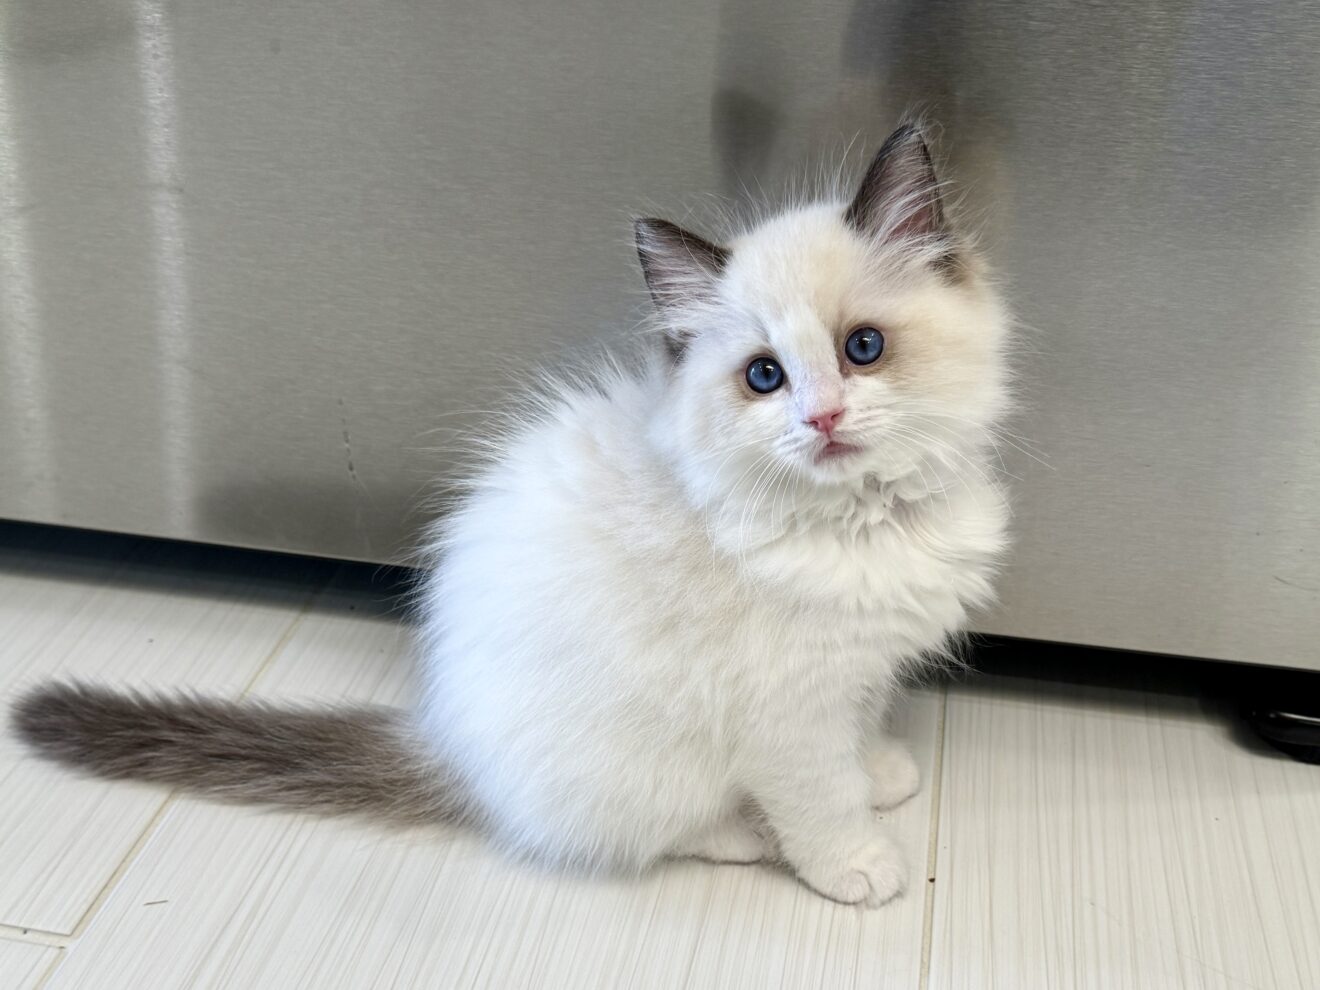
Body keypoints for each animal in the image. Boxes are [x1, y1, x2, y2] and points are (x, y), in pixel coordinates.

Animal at [10, 122, 1008, 908]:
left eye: (863, 349)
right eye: (764, 376)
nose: (822, 419)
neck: (864, 524)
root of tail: (450, 747)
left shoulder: (862, 669)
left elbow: (863, 729)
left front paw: (882, 771)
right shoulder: (789, 714)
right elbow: (820, 798)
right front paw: (858, 862)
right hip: (635, 760)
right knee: (631, 828)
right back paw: (740, 834)